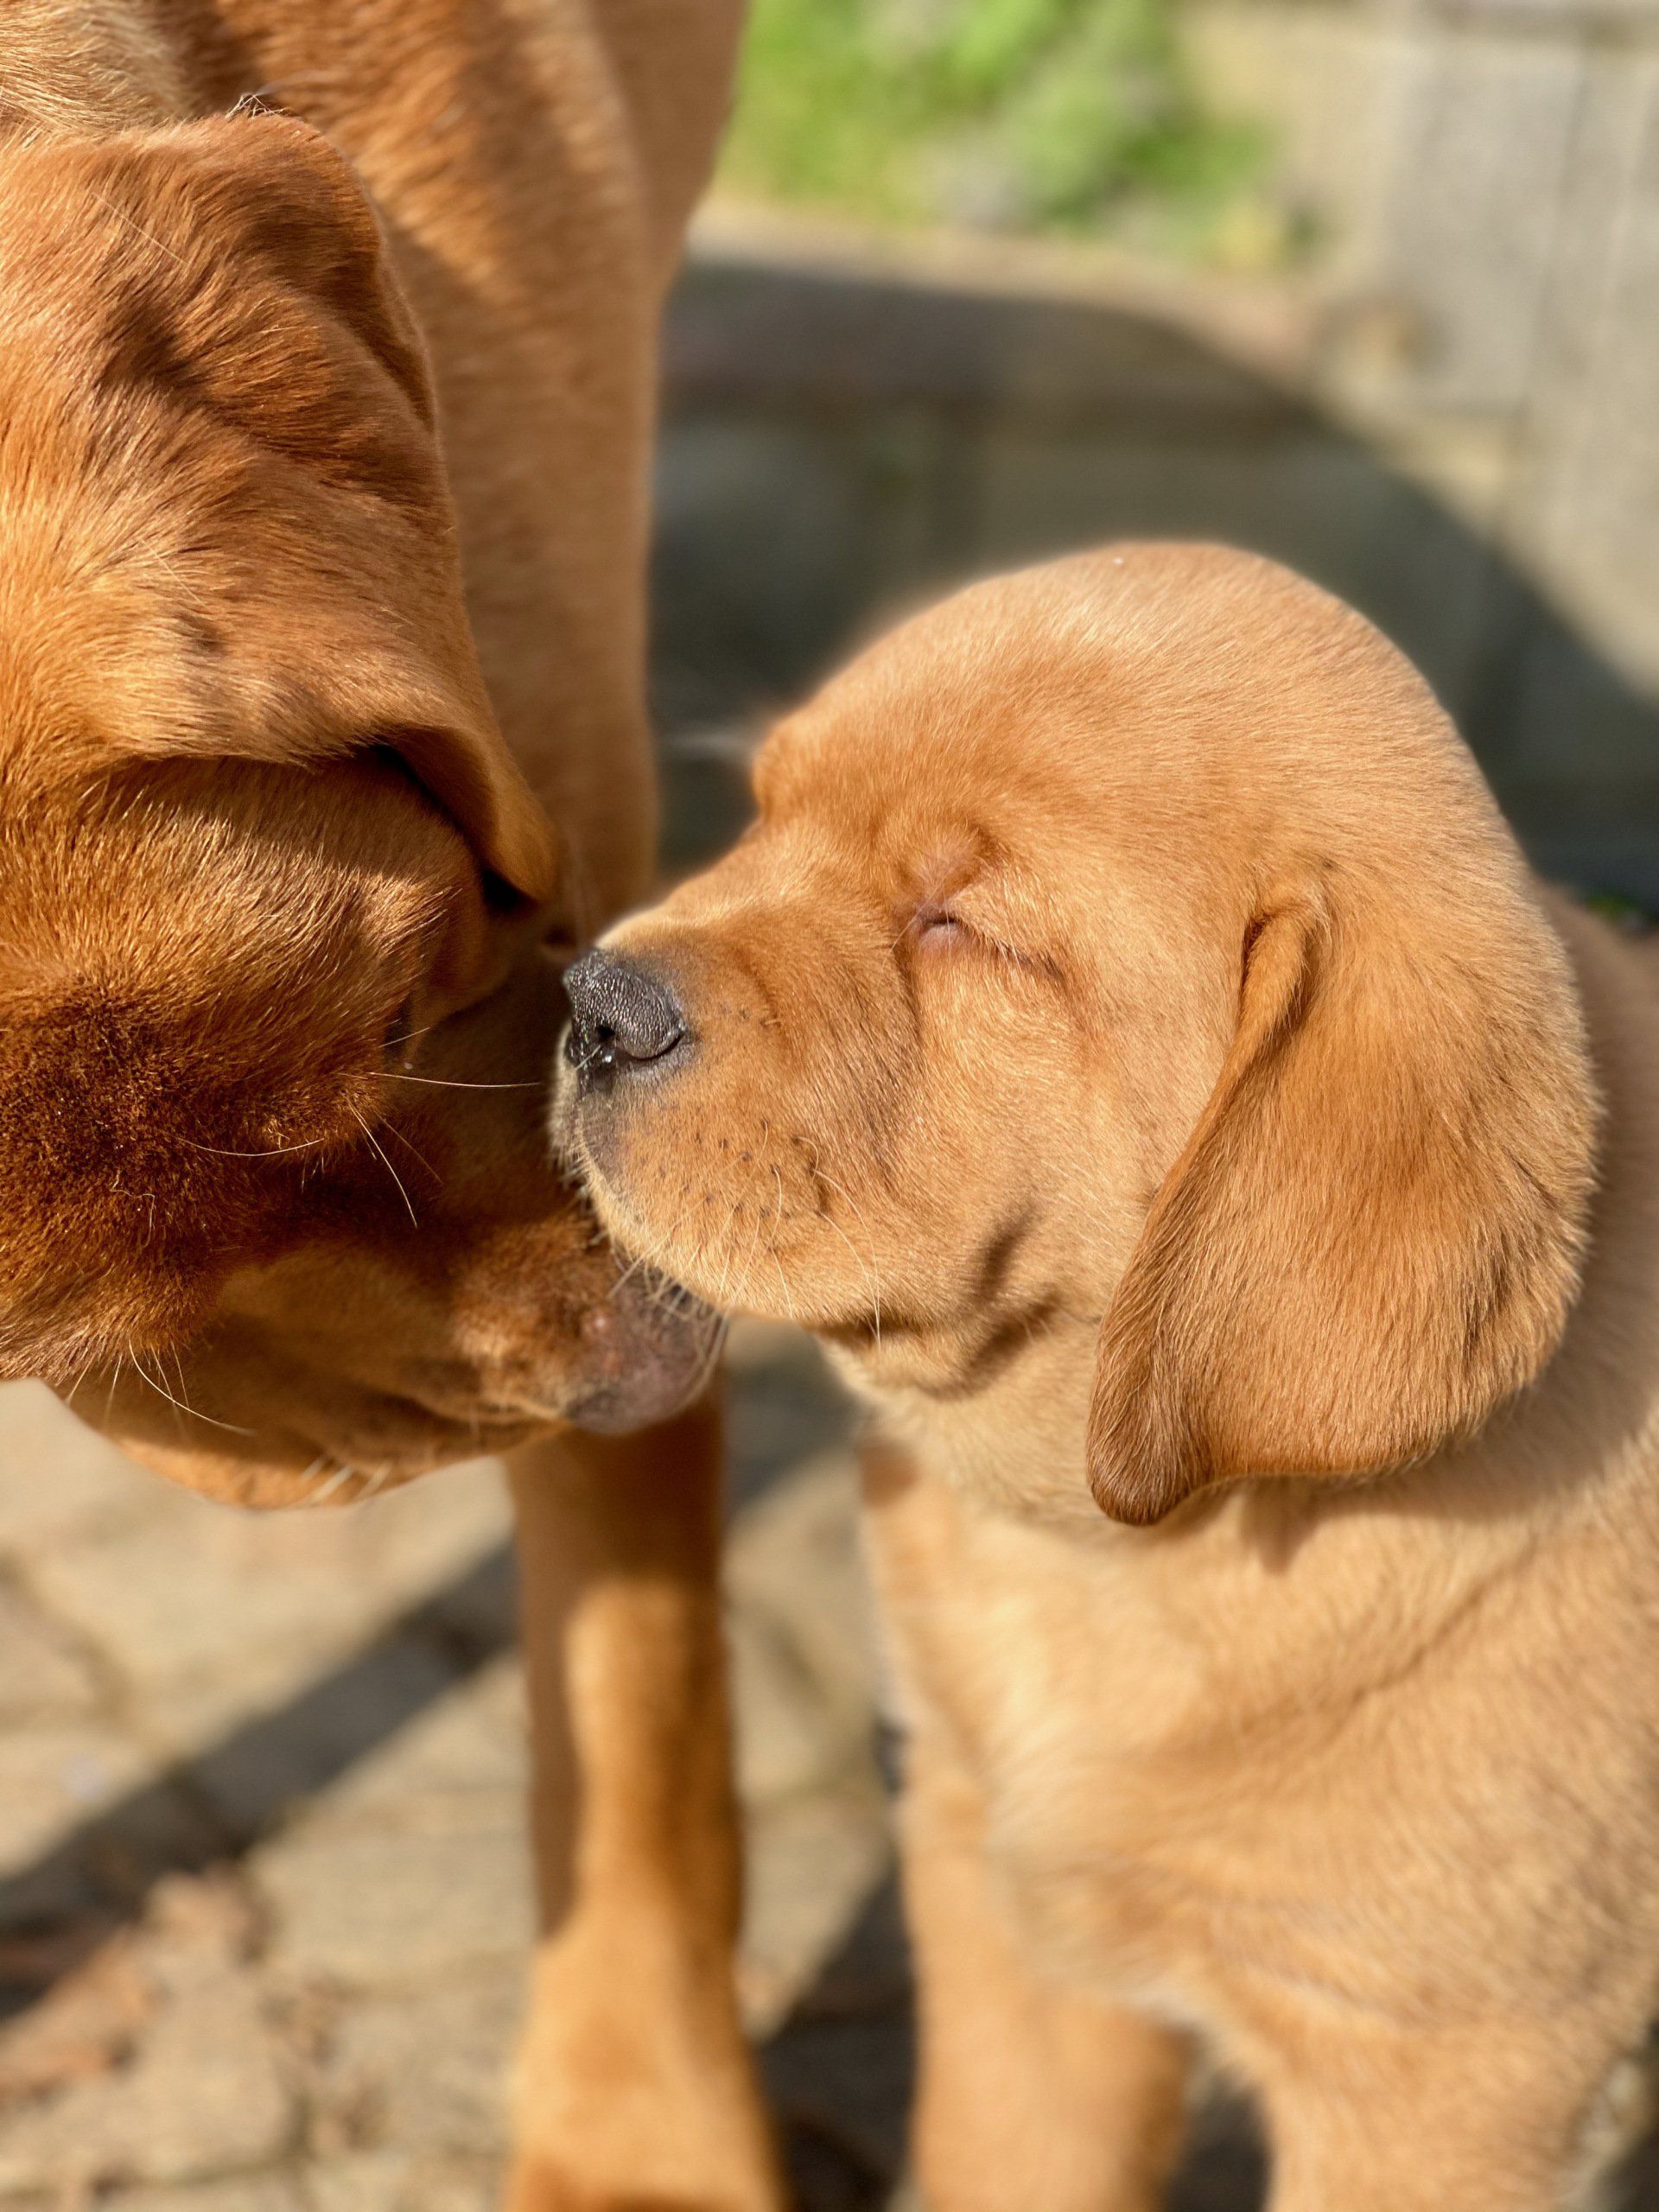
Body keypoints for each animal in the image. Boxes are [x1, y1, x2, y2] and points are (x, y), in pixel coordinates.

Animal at [562, 541, 1659, 2209]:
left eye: (967, 926)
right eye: (761, 809)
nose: (587, 1006)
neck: (1106, 1563)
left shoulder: (1437, 2074)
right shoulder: (1009, 1912)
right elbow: (998, 2164)